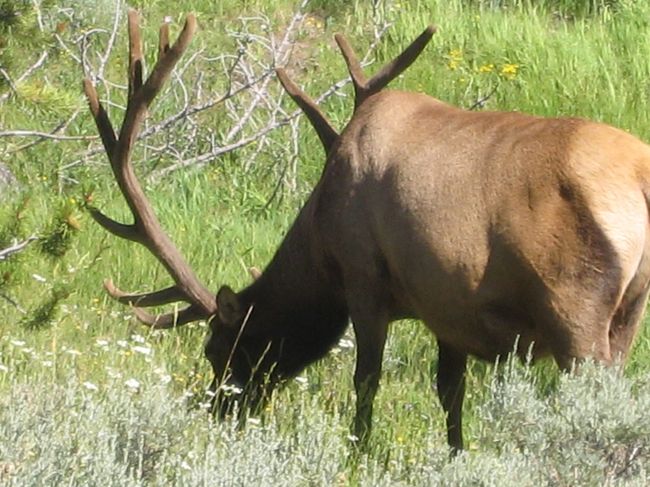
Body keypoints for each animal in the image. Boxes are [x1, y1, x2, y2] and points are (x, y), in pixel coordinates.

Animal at [85, 10, 648, 454]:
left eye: (216, 349)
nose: (219, 417)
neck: (319, 246)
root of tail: (639, 177)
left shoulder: (364, 278)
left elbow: (366, 380)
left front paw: (357, 453)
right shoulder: (447, 306)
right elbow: (451, 393)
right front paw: (455, 456)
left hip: (574, 304)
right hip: (630, 310)